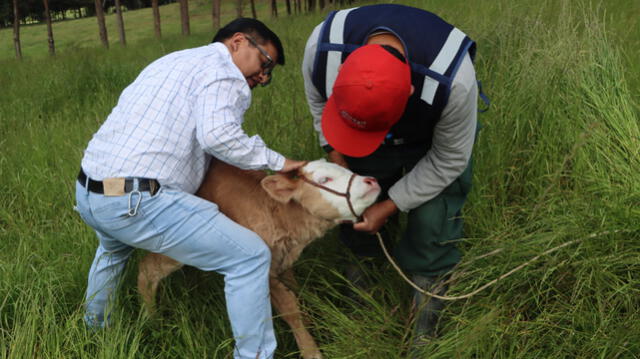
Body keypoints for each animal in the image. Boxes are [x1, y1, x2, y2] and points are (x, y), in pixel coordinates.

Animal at [139, 159, 380, 358]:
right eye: (325, 179)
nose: (372, 181)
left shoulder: (284, 263)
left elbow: (297, 292)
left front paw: (313, 324)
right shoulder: (266, 270)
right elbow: (290, 308)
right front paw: (311, 351)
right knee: (147, 270)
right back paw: (153, 322)